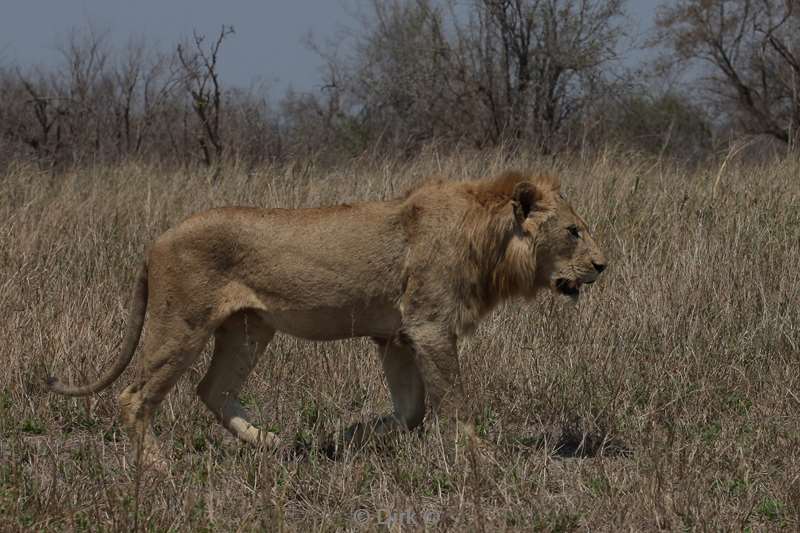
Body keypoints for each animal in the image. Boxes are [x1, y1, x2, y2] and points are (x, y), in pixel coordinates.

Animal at [45, 169, 608, 462]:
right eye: (574, 231)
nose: (603, 265)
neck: (491, 243)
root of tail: (155, 242)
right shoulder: (429, 326)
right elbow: (454, 400)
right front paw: (477, 455)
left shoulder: (396, 337)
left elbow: (411, 411)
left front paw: (352, 437)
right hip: (181, 324)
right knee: (135, 396)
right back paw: (157, 468)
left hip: (248, 328)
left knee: (212, 389)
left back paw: (272, 444)